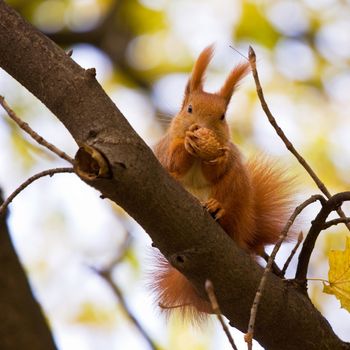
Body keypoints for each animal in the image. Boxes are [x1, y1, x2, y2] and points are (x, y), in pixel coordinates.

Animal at [151, 45, 296, 318]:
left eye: (222, 116)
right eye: (188, 109)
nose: (200, 127)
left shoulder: (225, 161)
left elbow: (217, 169)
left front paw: (213, 155)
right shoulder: (164, 151)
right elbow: (174, 161)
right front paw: (187, 144)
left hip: (235, 188)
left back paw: (216, 209)